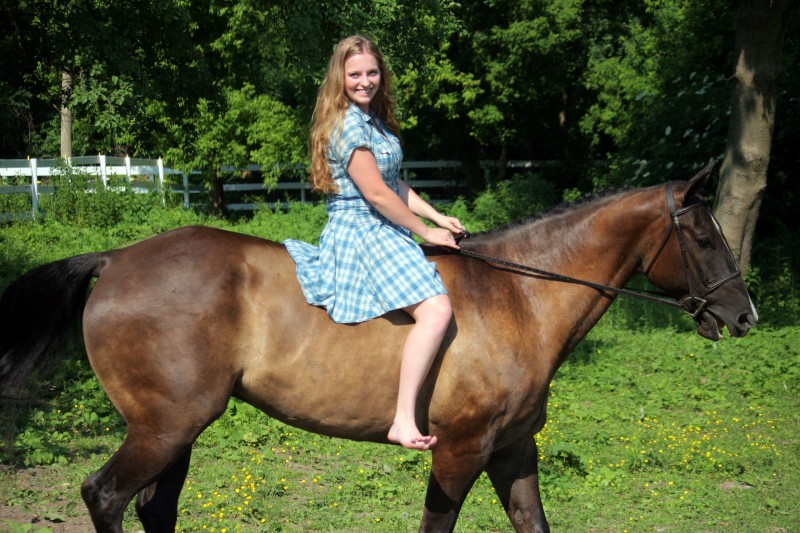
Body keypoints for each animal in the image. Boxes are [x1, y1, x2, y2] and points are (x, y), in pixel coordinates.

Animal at [0, 161, 757, 533]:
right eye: (702, 236)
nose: (744, 315)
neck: (517, 296)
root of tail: (115, 260)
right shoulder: (460, 450)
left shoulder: (514, 449)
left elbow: (533, 522)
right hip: (165, 425)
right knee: (105, 496)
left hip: (176, 428)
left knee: (153, 507)